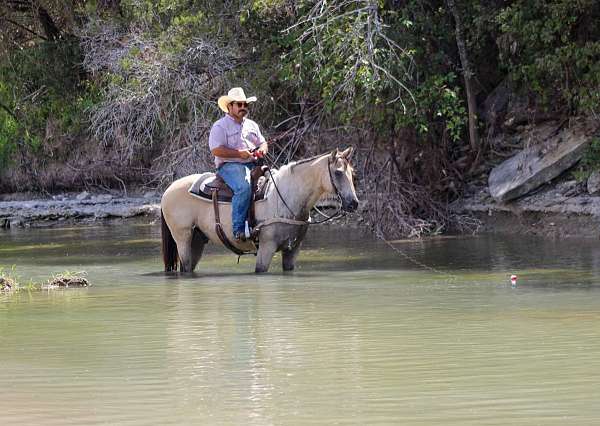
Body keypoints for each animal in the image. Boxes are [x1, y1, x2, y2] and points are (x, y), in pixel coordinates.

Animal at [159, 146, 358, 272]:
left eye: (352, 172)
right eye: (338, 172)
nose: (353, 203)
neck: (284, 198)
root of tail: (168, 190)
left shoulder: (292, 250)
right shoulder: (266, 247)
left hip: (197, 239)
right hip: (183, 237)